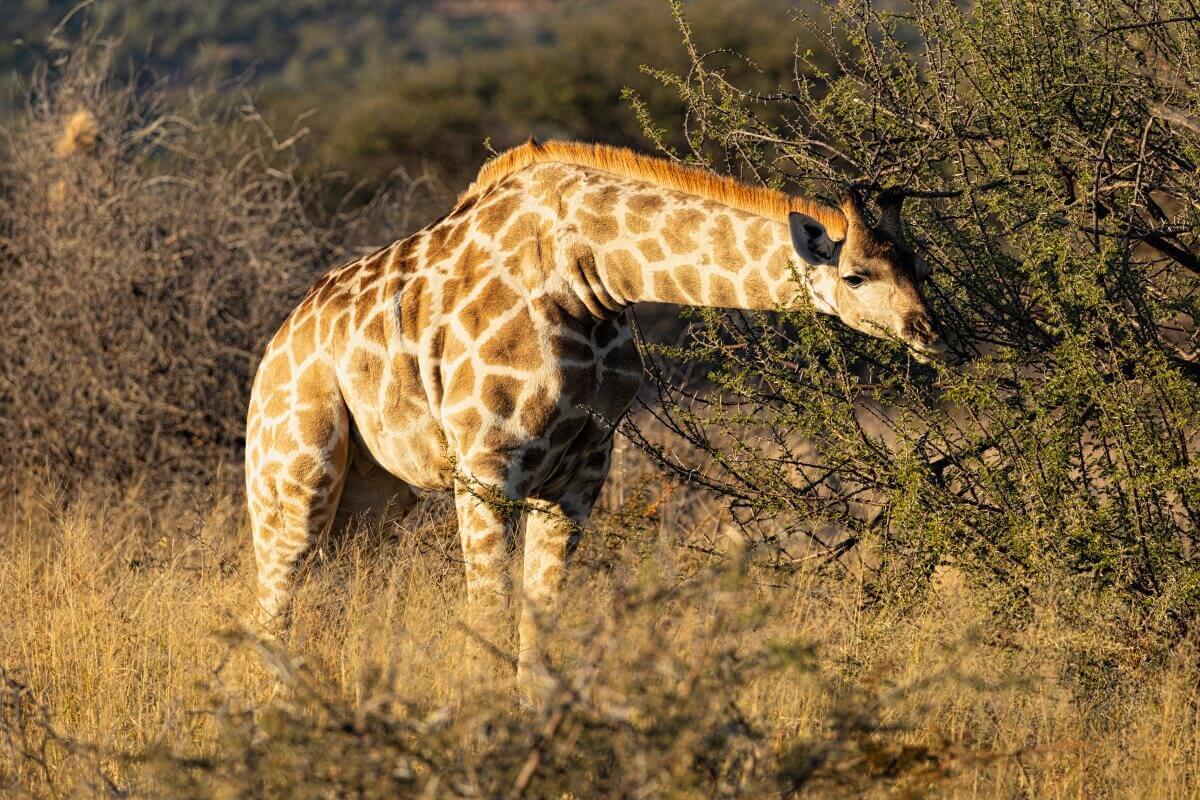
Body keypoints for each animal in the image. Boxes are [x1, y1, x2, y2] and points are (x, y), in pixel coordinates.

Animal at [245, 139, 945, 692]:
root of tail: (276, 346)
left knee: (323, 598)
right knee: (274, 605)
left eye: (919, 266)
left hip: (373, 500)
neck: (593, 276)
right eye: (856, 275)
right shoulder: (486, 466)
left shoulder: (580, 473)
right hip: (295, 478)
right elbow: (488, 617)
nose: (931, 334)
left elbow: (539, 629)